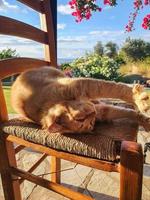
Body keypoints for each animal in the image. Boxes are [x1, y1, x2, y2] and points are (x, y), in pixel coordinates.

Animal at [11, 66, 150, 134]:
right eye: (89, 123)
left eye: (80, 119)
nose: (93, 113)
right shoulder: (103, 111)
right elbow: (128, 112)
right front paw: (144, 119)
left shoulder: (83, 85)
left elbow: (117, 88)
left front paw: (140, 100)